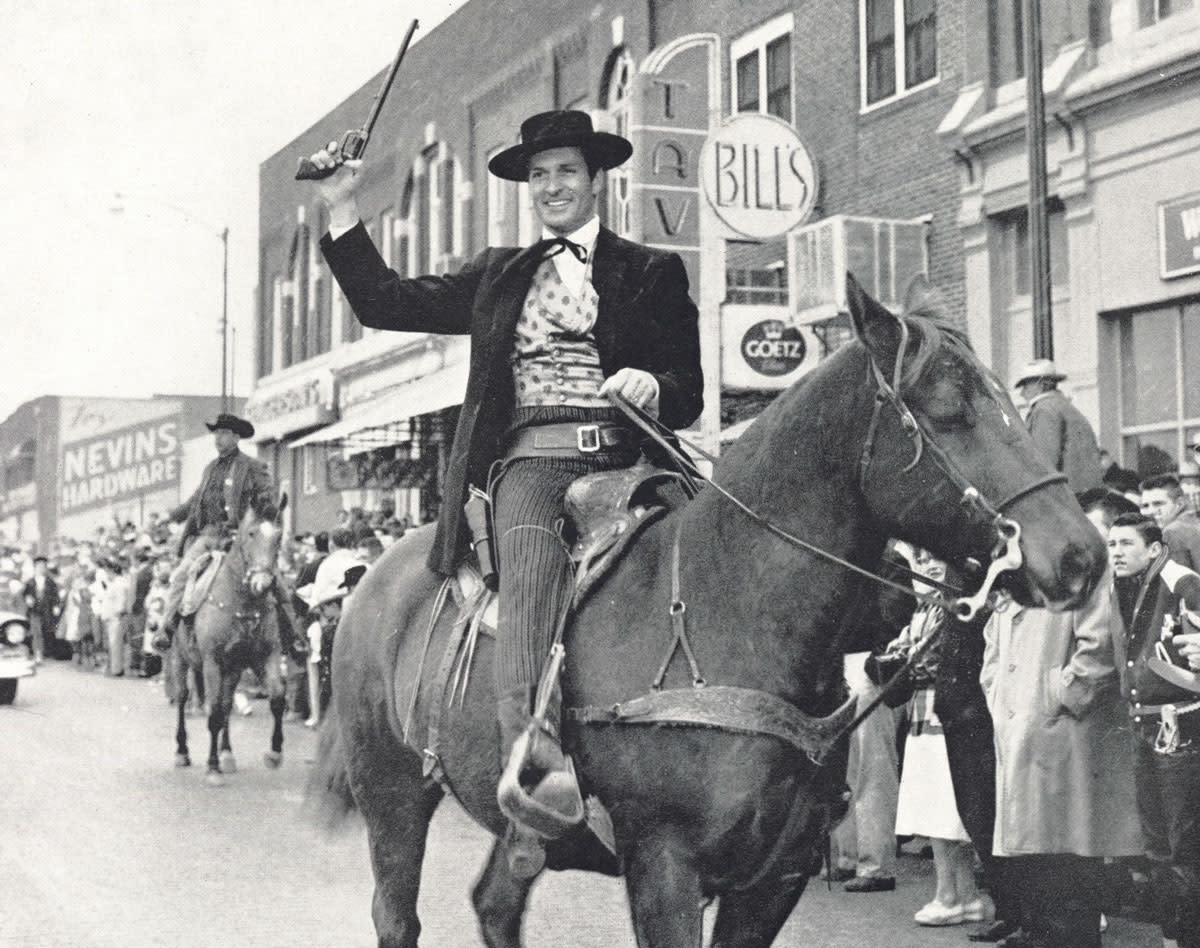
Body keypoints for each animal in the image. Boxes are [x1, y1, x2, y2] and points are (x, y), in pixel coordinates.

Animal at [174, 501, 288, 792]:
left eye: (278, 536)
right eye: (250, 533)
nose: (263, 583)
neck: (243, 604)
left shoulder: (266, 656)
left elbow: (277, 699)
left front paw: (274, 753)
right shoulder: (212, 662)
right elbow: (213, 713)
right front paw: (212, 768)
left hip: (233, 670)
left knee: (227, 705)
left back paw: (227, 754)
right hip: (179, 658)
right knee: (182, 698)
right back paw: (182, 752)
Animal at [309, 272, 1104, 940]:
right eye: (948, 410)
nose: (1081, 556)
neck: (734, 610)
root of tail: (375, 579)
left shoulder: (775, 877)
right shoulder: (665, 868)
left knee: (495, 905)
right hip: (392, 793)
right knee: (397, 915)